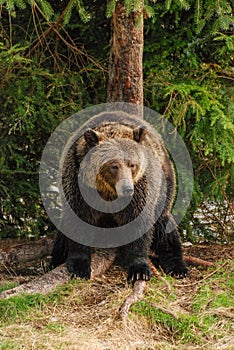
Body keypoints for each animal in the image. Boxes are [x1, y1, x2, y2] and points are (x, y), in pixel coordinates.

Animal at [50, 110, 188, 284]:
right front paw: (79, 267)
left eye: (132, 164)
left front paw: (139, 270)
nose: (127, 188)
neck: (108, 192)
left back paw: (178, 267)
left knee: (164, 227)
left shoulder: (140, 191)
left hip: (165, 187)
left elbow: (138, 225)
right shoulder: (79, 187)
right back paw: (55, 259)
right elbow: (78, 224)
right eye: (114, 165)